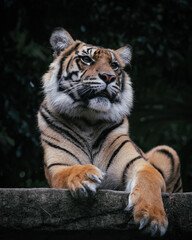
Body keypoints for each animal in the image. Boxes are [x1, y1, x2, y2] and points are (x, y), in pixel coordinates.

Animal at [38, 27, 183, 236]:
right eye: (87, 59)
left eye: (114, 65)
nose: (109, 77)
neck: (88, 119)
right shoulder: (58, 167)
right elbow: (70, 171)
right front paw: (86, 175)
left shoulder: (140, 164)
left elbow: (148, 181)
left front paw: (152, 217)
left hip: (166, 151)